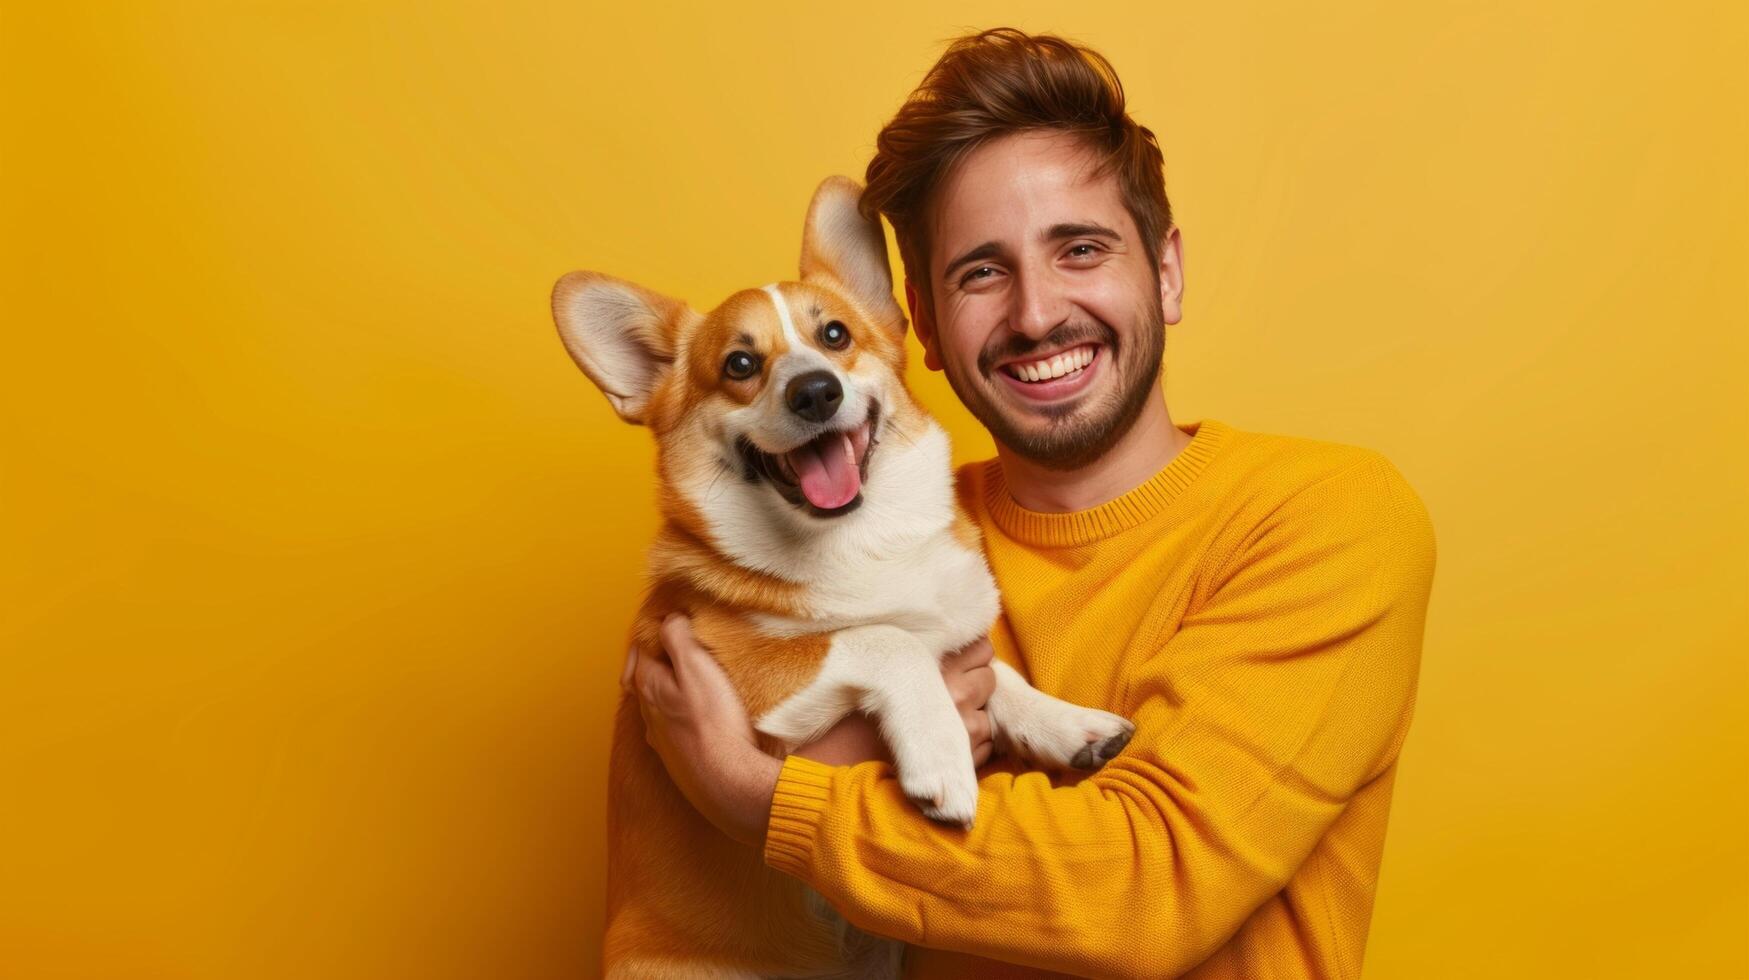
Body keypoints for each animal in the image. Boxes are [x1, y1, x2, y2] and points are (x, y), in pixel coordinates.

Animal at [552, 177, 1140, 980]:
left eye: (834, 336)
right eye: (740, 366)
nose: (814, 392)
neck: (861, 543)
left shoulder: (958, 629)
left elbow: (995, 669)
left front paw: (1066, 723)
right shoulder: (744, 679)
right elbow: (887, 639)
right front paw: (941, 754)